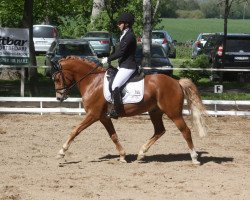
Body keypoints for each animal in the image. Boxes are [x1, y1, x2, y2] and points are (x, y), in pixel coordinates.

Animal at [53, 55, 207, 164]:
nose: (59, 97)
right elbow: (113, 136)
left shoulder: (93, 115)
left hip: (173, 113)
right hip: (155, 112)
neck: (92, 82)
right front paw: (122, 156)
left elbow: (75, 130)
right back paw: (141, 153)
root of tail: (176, 82)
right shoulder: (103, 117)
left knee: (185, 131)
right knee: (159, 130)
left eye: (57, 78)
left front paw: (61, 151)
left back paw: (194, 158)